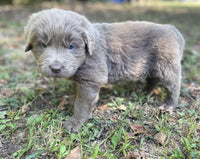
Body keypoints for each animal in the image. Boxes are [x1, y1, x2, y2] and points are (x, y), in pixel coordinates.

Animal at [24, 8, 184, 132]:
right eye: (43, 45)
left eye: (71, 46)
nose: (55, 68)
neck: (86, 55)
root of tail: (172, 29)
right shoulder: (80, 80)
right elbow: (78, 93)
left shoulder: (91, 79)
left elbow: (82, 103)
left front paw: (75, 122)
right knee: (153, 80)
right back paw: (144, 93)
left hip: (166, 65)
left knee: (174, 85)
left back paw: (169, 105)